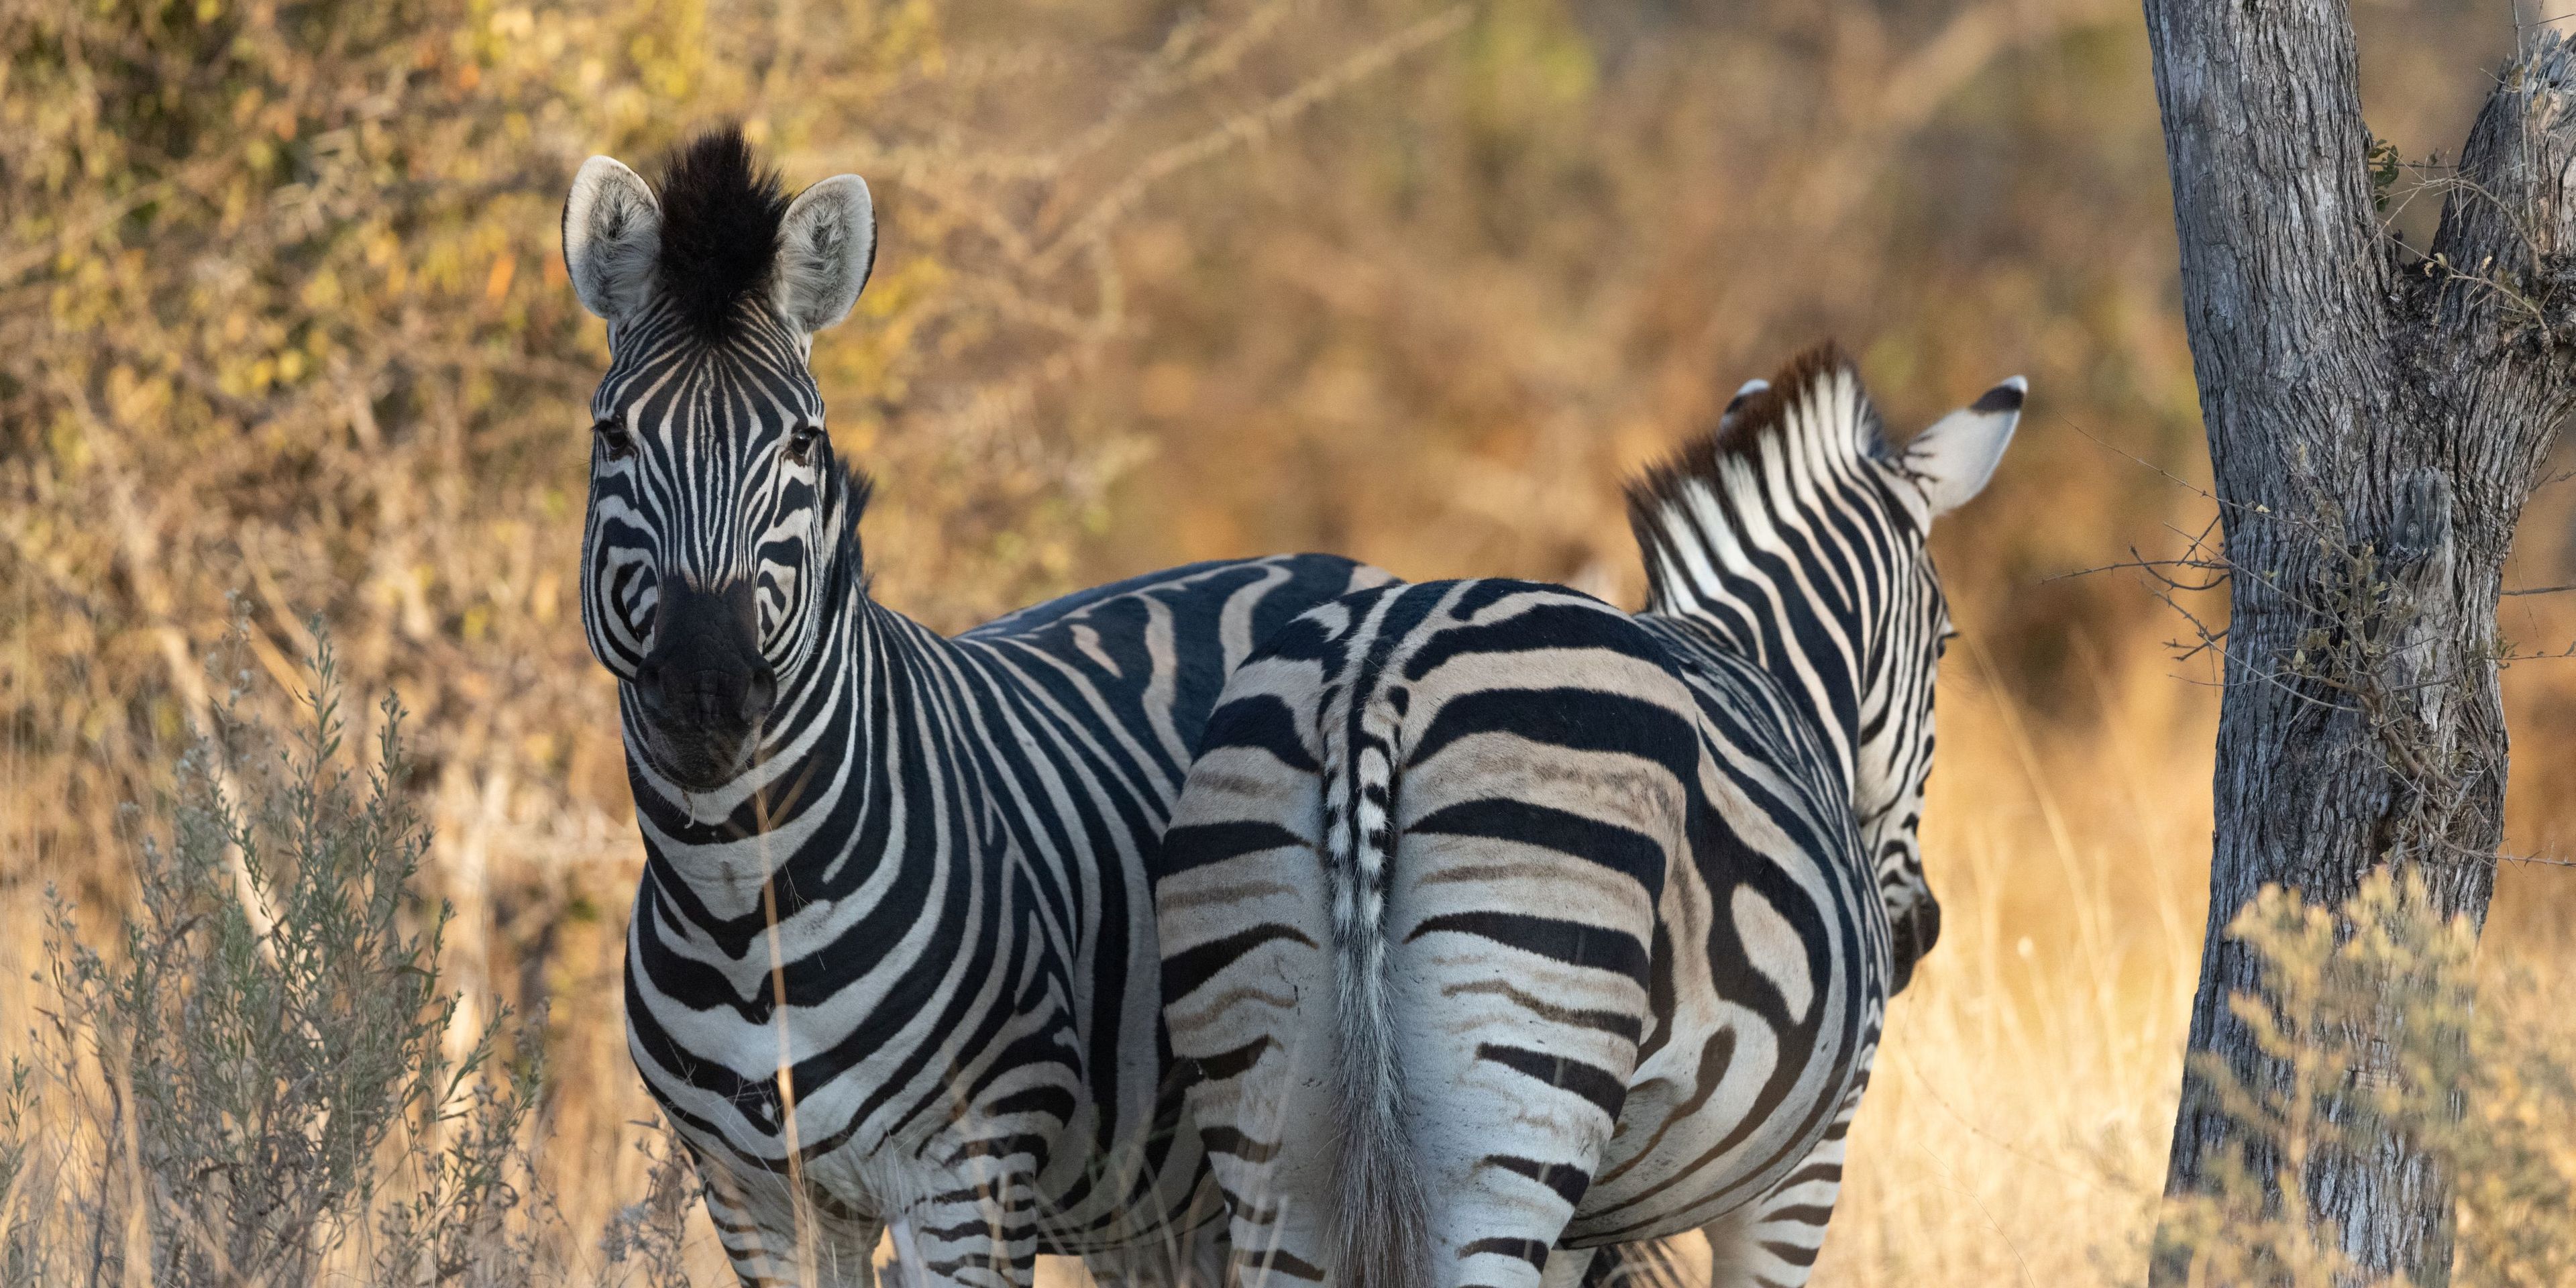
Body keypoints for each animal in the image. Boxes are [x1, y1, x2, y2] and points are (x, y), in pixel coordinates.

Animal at [560, 127, 1396, 1287]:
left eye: (802, 445)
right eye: (614, 437)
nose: (705, 689)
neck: (738, 905)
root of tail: (1336, 566)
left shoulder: (966, 1177)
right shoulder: (755, 1201)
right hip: (1171, 1203)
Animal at [1154, 344, 2022, 1288]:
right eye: (1945, 641)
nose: (1917, 933)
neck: (1768, 667)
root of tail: (1371, 680)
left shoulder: (1583, 1224)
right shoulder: (1805, 1171)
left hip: (1274, 1125)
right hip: (1512, 1120)